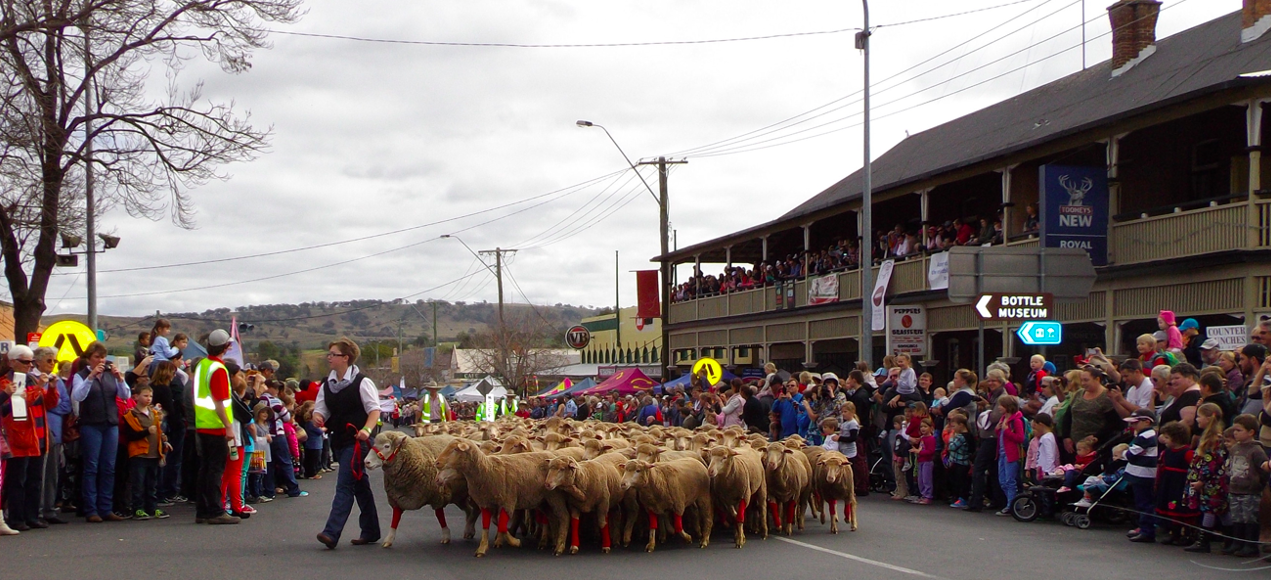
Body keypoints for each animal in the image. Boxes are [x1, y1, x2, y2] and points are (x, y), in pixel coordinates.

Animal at [434, 440, 569, 557]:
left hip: (554, 496)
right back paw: (551, 541)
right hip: (542, 501)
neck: (487, 470)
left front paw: (515, 542)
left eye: (455, 449)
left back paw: (559, 546)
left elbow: (502, 525)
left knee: (563, 517)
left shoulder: (508, 501)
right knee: (551, 518)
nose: (437, 462)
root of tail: (552, 456)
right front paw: (482, 548)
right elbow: (487, 525)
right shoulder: (485, 503)